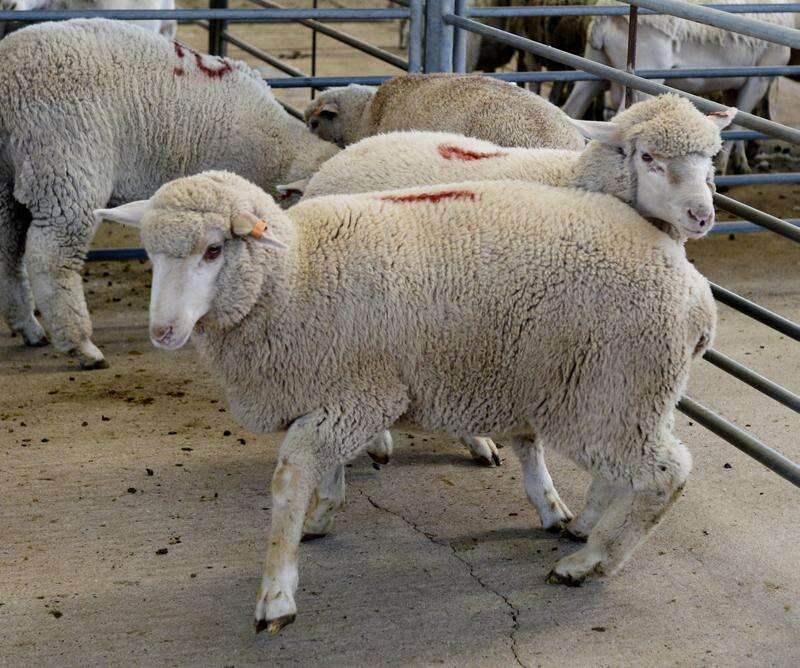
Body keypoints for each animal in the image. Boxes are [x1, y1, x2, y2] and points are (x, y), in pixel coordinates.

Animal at [0, 19, 338, 369]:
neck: (278, 151)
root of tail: (8, 70)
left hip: (7, 181)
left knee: (8, 251)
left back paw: (28, 326)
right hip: (65, 164)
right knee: (50, 256)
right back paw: (81, 346)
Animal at [95, 100, 727, 631]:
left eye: (212, 250)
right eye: (151, 254)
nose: (163, 331)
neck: (295, 273)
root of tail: (694, 287)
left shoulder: (358, 393)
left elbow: (289, 479)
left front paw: (276, 592)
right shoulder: (328, 390)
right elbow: (321, 470)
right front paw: (324, 511)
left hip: (610, 390)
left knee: (665, 474)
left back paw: (591, 561)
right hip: (626, 394)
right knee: (636, 468)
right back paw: (587, 534)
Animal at [562, 0, 794, 173]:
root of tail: (603, 20)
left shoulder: (735, 83)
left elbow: (741, 123)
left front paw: (741, 162)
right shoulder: (759, 78)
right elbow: (739, 125)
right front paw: (723, 168)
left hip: (594, 68)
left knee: (570, 110)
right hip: (643, 76)